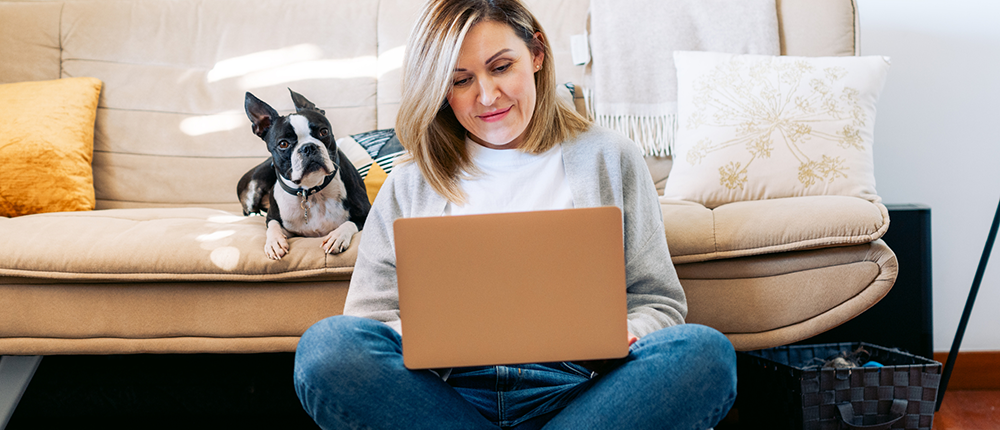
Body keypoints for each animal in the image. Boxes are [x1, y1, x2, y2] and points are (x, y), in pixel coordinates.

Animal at [238, 89, 372, 260]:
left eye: (324, 132)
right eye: (283, 144)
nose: (308, 147)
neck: (311, 191)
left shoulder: (366, 213)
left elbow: (349, 223)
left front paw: (337, 237)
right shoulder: (275, 219)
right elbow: (273, 225)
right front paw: (274, 242)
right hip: (254, 186)